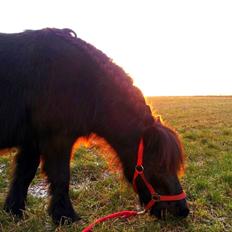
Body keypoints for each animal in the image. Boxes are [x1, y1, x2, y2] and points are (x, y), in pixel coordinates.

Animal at [0, 28, 188, 224]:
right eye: (160, 165)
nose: (183, 210)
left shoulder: (32, 140)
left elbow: (24, 173)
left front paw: (14, 210)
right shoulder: (58, 139)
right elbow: (61, 176)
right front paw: (66, 216)